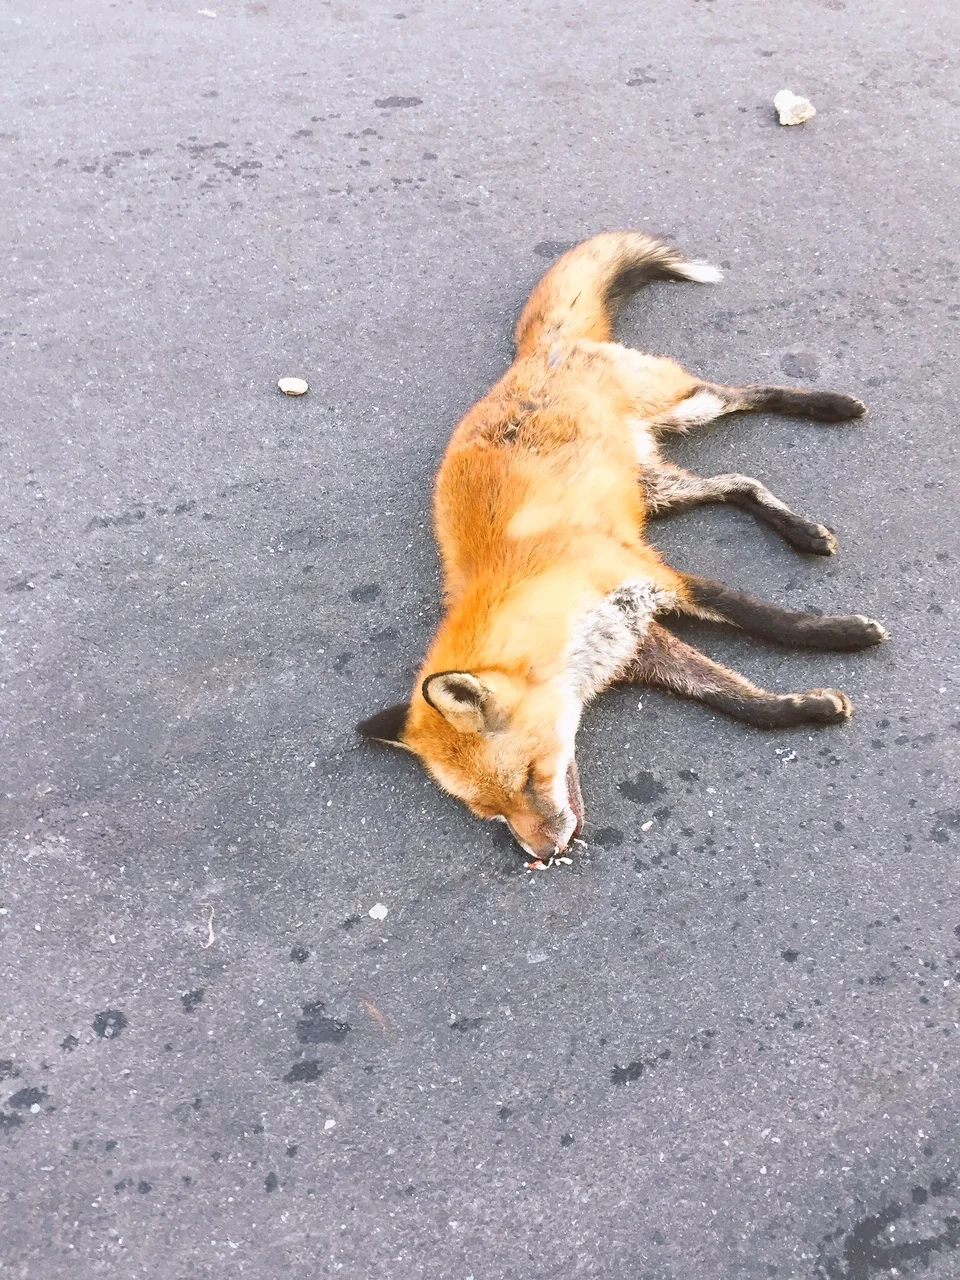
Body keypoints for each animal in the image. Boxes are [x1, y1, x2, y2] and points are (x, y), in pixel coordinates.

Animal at [357, 231, 888, 862]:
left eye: (529, 780)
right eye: (493, 813)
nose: (544, 854)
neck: (542, 588)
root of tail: (533, 354)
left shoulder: (655, 578)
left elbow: (767, 620)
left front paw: (844, 634)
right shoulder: (638, 643)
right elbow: (737, 700)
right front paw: (807, 708)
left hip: (683, 407)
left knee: (743, 393)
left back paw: (830, 406)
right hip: (656, 487)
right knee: (738, 482)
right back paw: (799, 529)